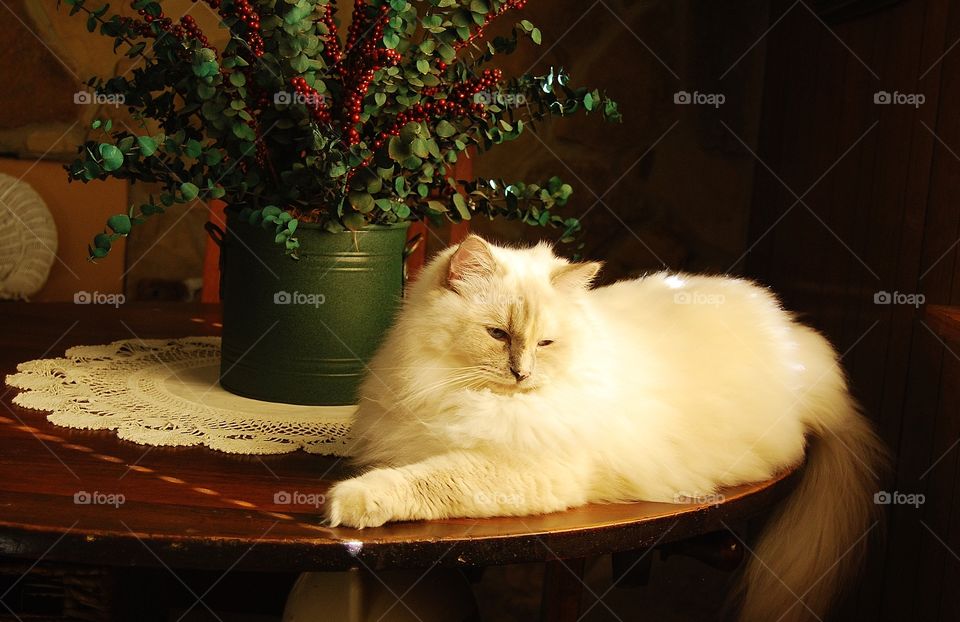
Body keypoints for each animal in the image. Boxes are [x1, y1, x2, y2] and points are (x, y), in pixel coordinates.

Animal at [326, 235, 888, 622]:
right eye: (498, 334)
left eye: (545, 343)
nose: (521, 373)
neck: (453, 392)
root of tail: (799, 344)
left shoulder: (519, 470)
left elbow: (426, 481)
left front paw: (348, 502)